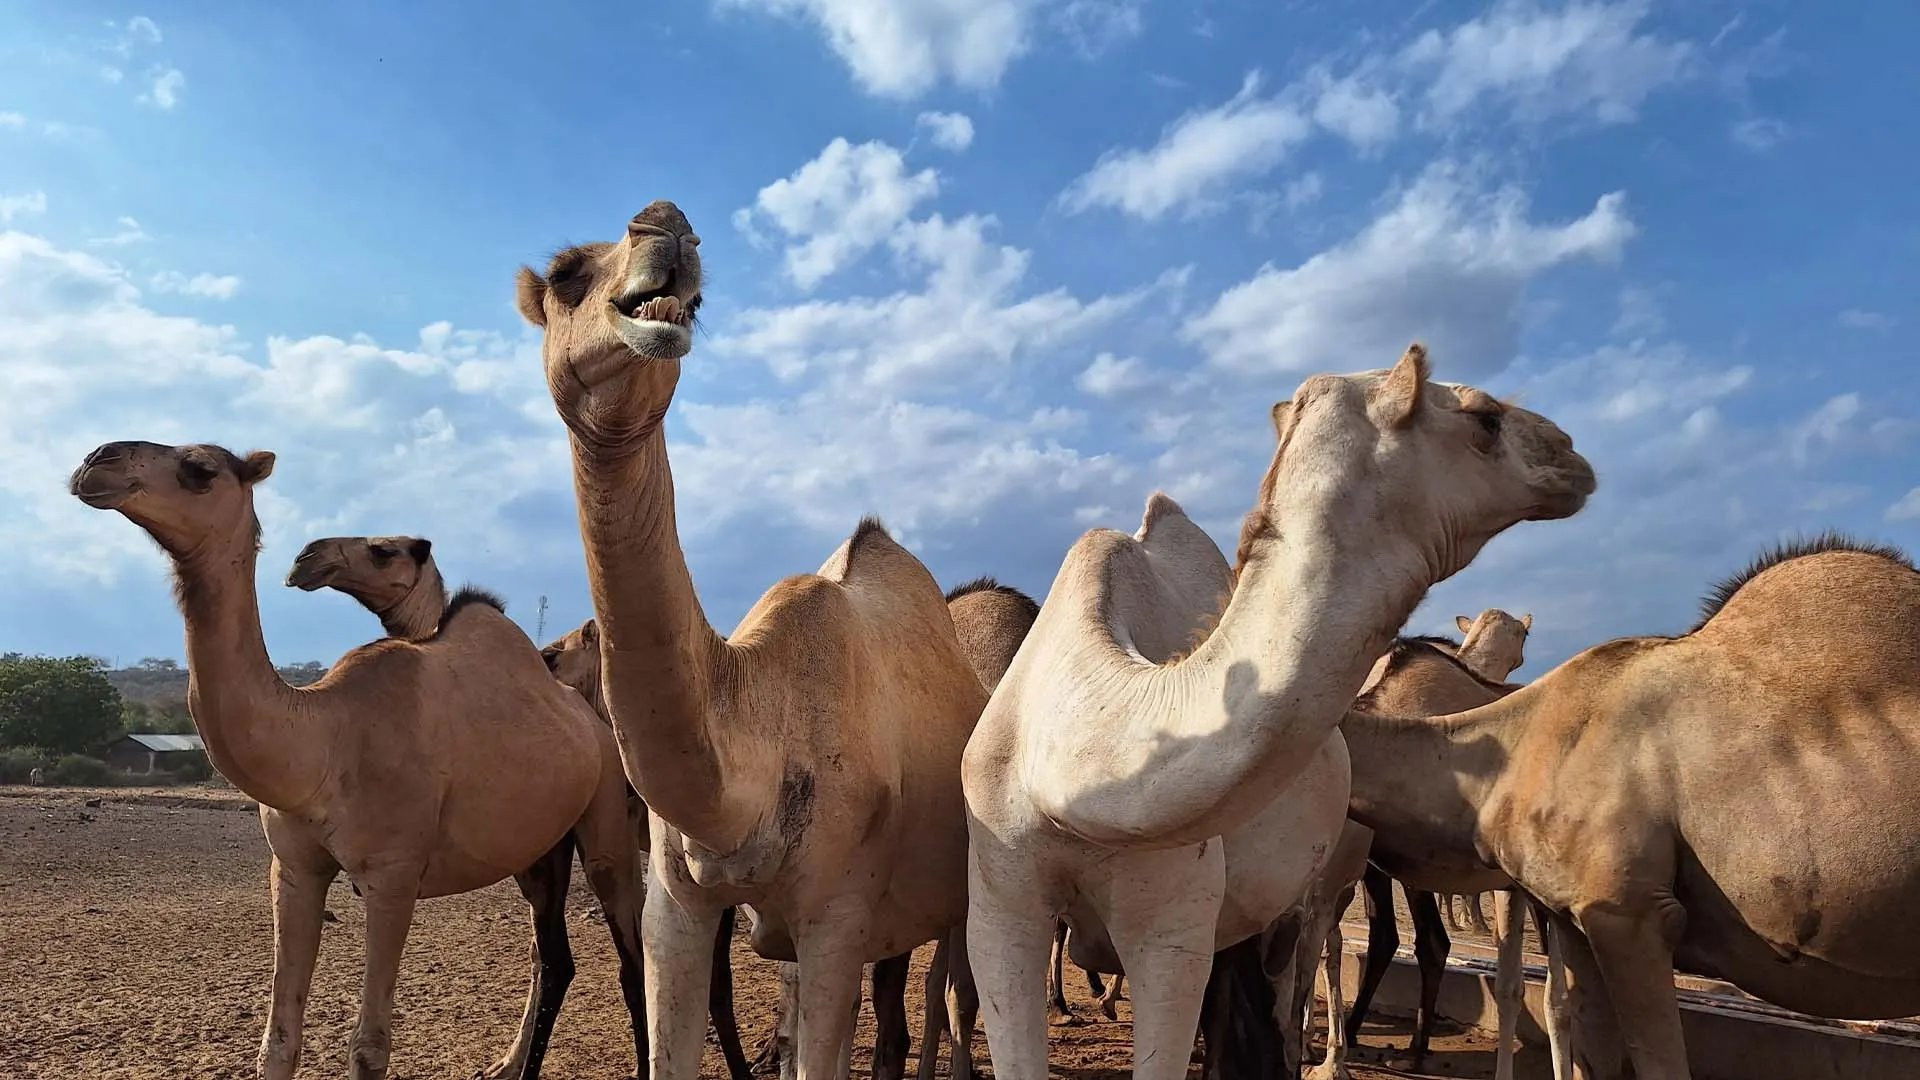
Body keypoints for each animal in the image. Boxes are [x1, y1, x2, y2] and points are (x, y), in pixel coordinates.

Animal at [68, 442, 647, 1080]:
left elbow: (369, 1048)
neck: (322, 742)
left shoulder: (392, 875)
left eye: (200, 469)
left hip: (608, 820)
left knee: (628, 952)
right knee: (552, 958)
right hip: (538, 850)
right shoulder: (294, 868)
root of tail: (593, 725)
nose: (96, 461)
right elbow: (278, 1040)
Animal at [518, 201, 988, 1080]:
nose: (665, 225)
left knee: (951, 981)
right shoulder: (677, 901)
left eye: (701, 299)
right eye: (565, 273)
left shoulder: (838, 916)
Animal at [962, 344, 1595, 1080]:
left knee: (1294, 964)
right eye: (1487, 417)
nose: (1570, 452)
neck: (1072, 756)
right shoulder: (1000, 906)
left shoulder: (1173, 927)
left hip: (1312, 885)